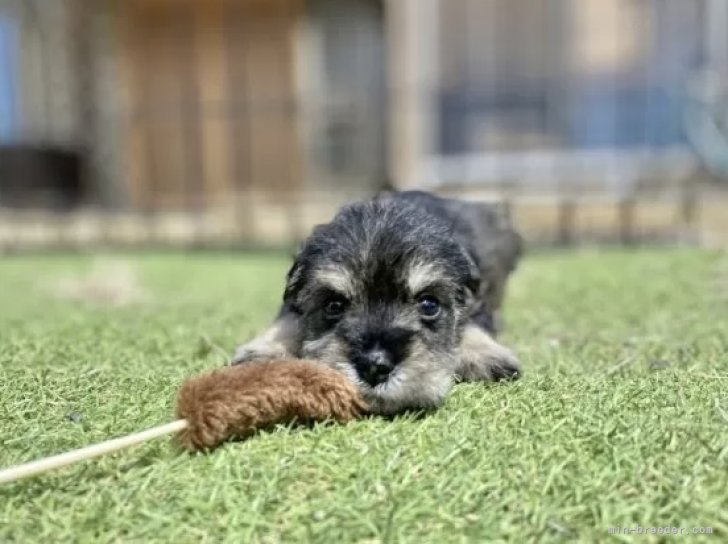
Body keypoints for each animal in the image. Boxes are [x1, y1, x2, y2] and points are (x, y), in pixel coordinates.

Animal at [233, 190, 524, 412]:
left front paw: (485, 354)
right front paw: (266, 351)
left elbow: (473, 321)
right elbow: (288, 318)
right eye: (333, 305)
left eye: (429, 305)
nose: (375, 366)